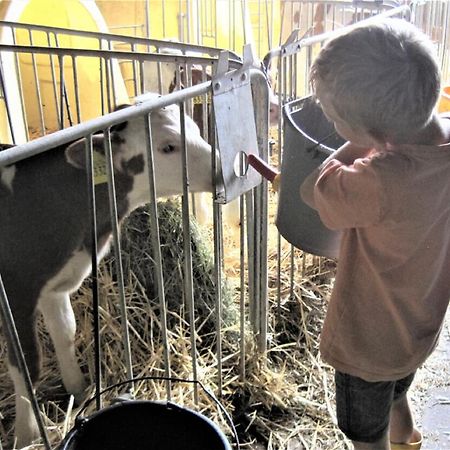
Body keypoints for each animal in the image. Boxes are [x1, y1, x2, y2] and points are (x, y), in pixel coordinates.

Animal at [0, 96, 214, 448]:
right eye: (167, 147)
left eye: (196, 129)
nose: (225, 167)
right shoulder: (15, 292)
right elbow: (27, 366)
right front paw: (25, 435)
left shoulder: (57, 284)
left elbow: (66, 332)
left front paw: (78, 390)